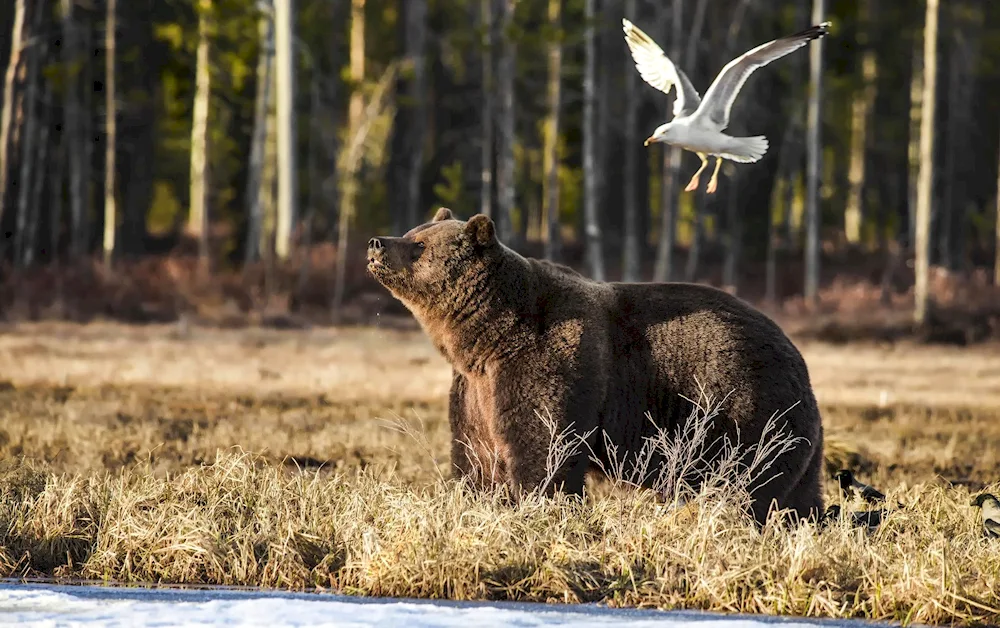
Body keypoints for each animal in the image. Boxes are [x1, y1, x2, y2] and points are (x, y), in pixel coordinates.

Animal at [366, 209, 820, 524]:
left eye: (419, 245)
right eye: (413, 232)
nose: (376, 242)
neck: (488, 337)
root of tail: (798, 359)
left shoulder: (548, 360)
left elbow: (544, 444)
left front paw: (540, 504)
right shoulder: (475, 388)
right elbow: (476, 453)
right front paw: (478, 499)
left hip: (737, 406)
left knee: (746, 480)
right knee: (797, 495)